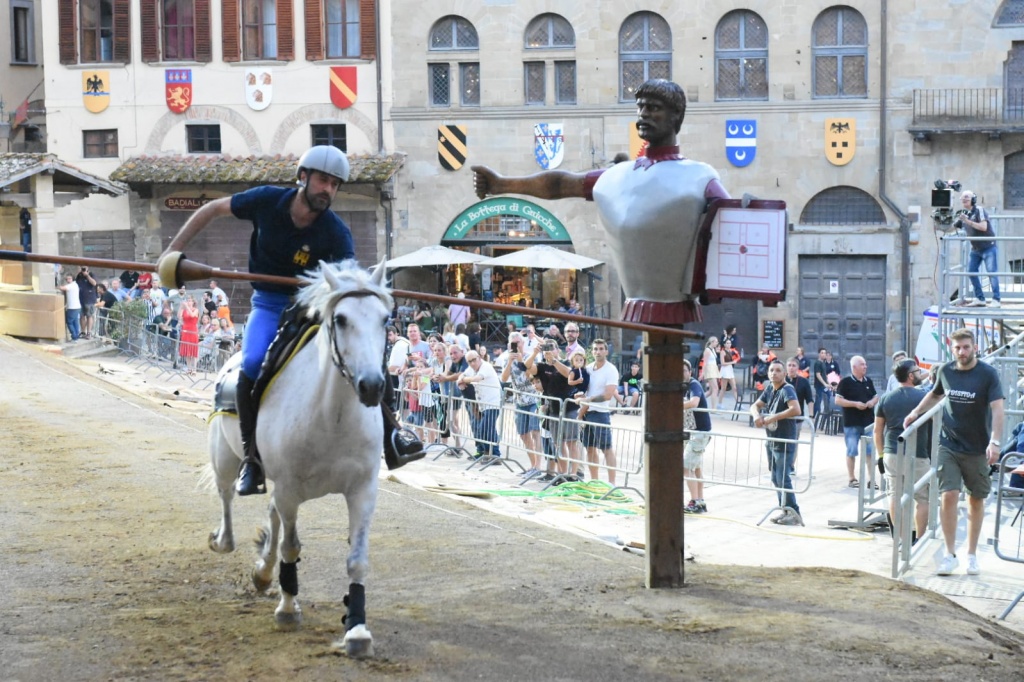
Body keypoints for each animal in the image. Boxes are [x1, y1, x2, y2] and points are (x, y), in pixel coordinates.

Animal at [205, 258, 389, 655]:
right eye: (341, 319)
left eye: (386, 319)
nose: (371, 385)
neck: (332, 415)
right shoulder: (290, 489)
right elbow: (291, 547)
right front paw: (288, 608)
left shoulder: (363, 490)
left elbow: (357, 561)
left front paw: (357, 629)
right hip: (224, 457)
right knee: (227, 496)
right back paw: (226, 541)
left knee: (271, 512)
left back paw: (263, 572)